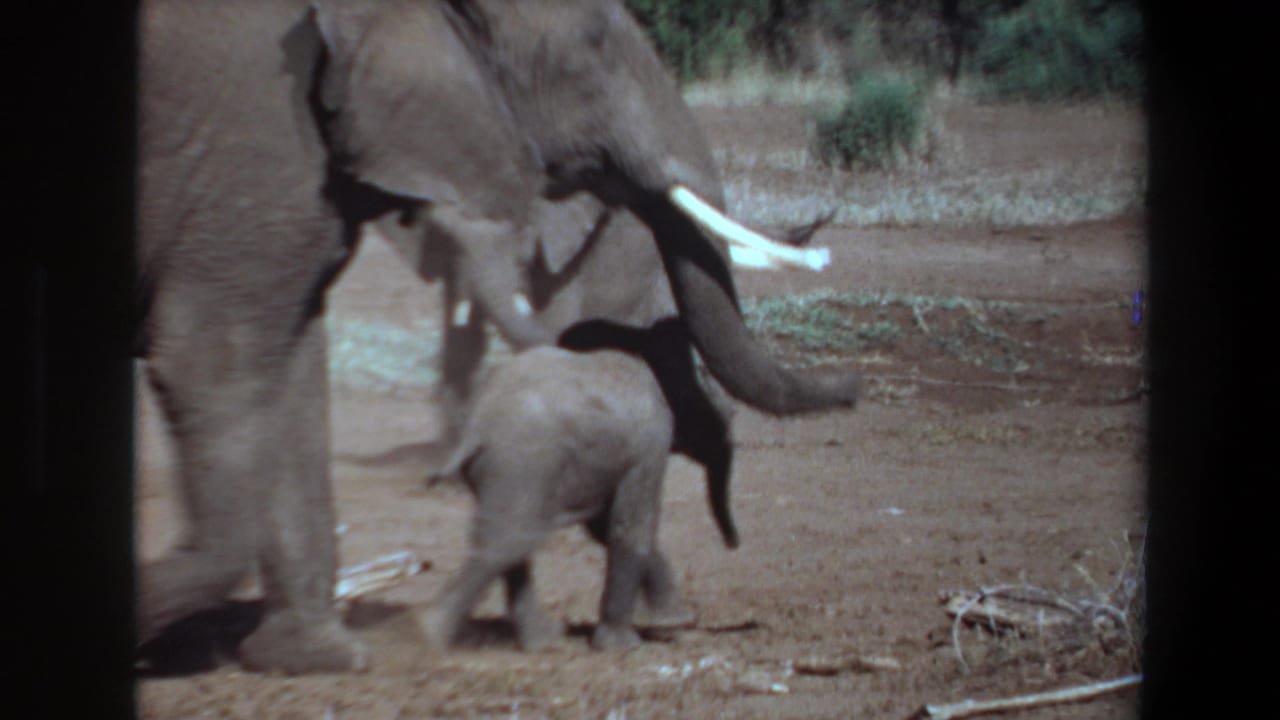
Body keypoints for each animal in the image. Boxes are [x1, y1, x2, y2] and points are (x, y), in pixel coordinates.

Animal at [422, 318, 739, 651]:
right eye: (722, 413)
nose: (733, 544)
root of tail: (476, 425)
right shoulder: (650, 439)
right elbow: (630, 525)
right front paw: (624, 645)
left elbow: (604, 526)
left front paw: (674, 623)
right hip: (523, 460)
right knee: (511, 538)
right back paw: (426, 633)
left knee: (509, 535)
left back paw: (543, 642)